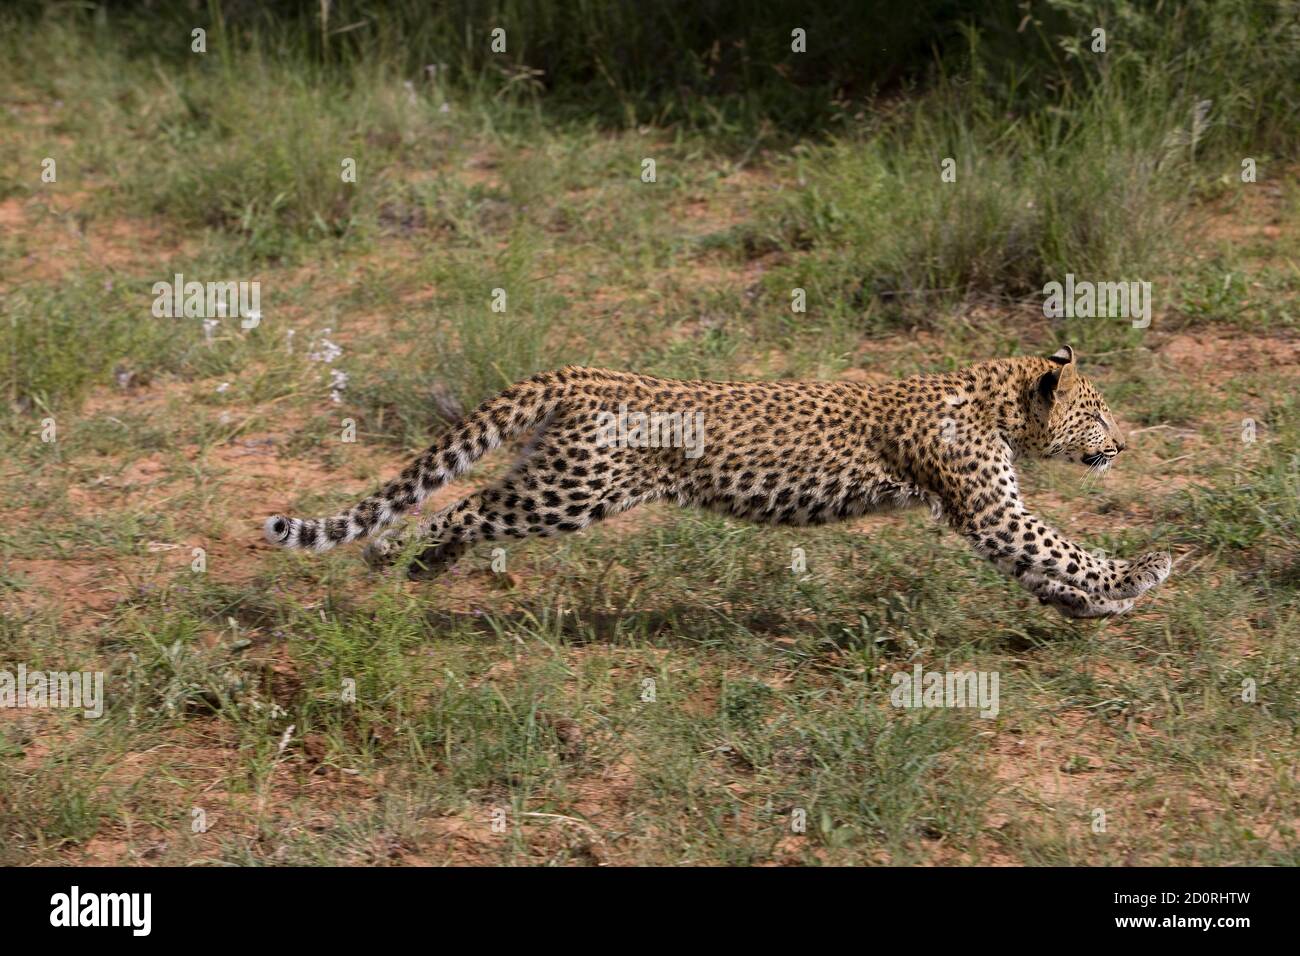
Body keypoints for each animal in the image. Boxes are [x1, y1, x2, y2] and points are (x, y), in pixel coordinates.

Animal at [261, 343, 1170, 621]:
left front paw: (1094, 607)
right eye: (1097, 413)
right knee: (461, 507)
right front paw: (1144, 571)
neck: (996, 401)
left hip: (553, 477)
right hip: (569, 493)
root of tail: (582, 371)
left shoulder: (991, 517)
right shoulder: (990, 510)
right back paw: (400, 557)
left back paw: (419, 565)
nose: (1123, 444)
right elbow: (1064, 546)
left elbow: (1044, 567)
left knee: (470, 504)